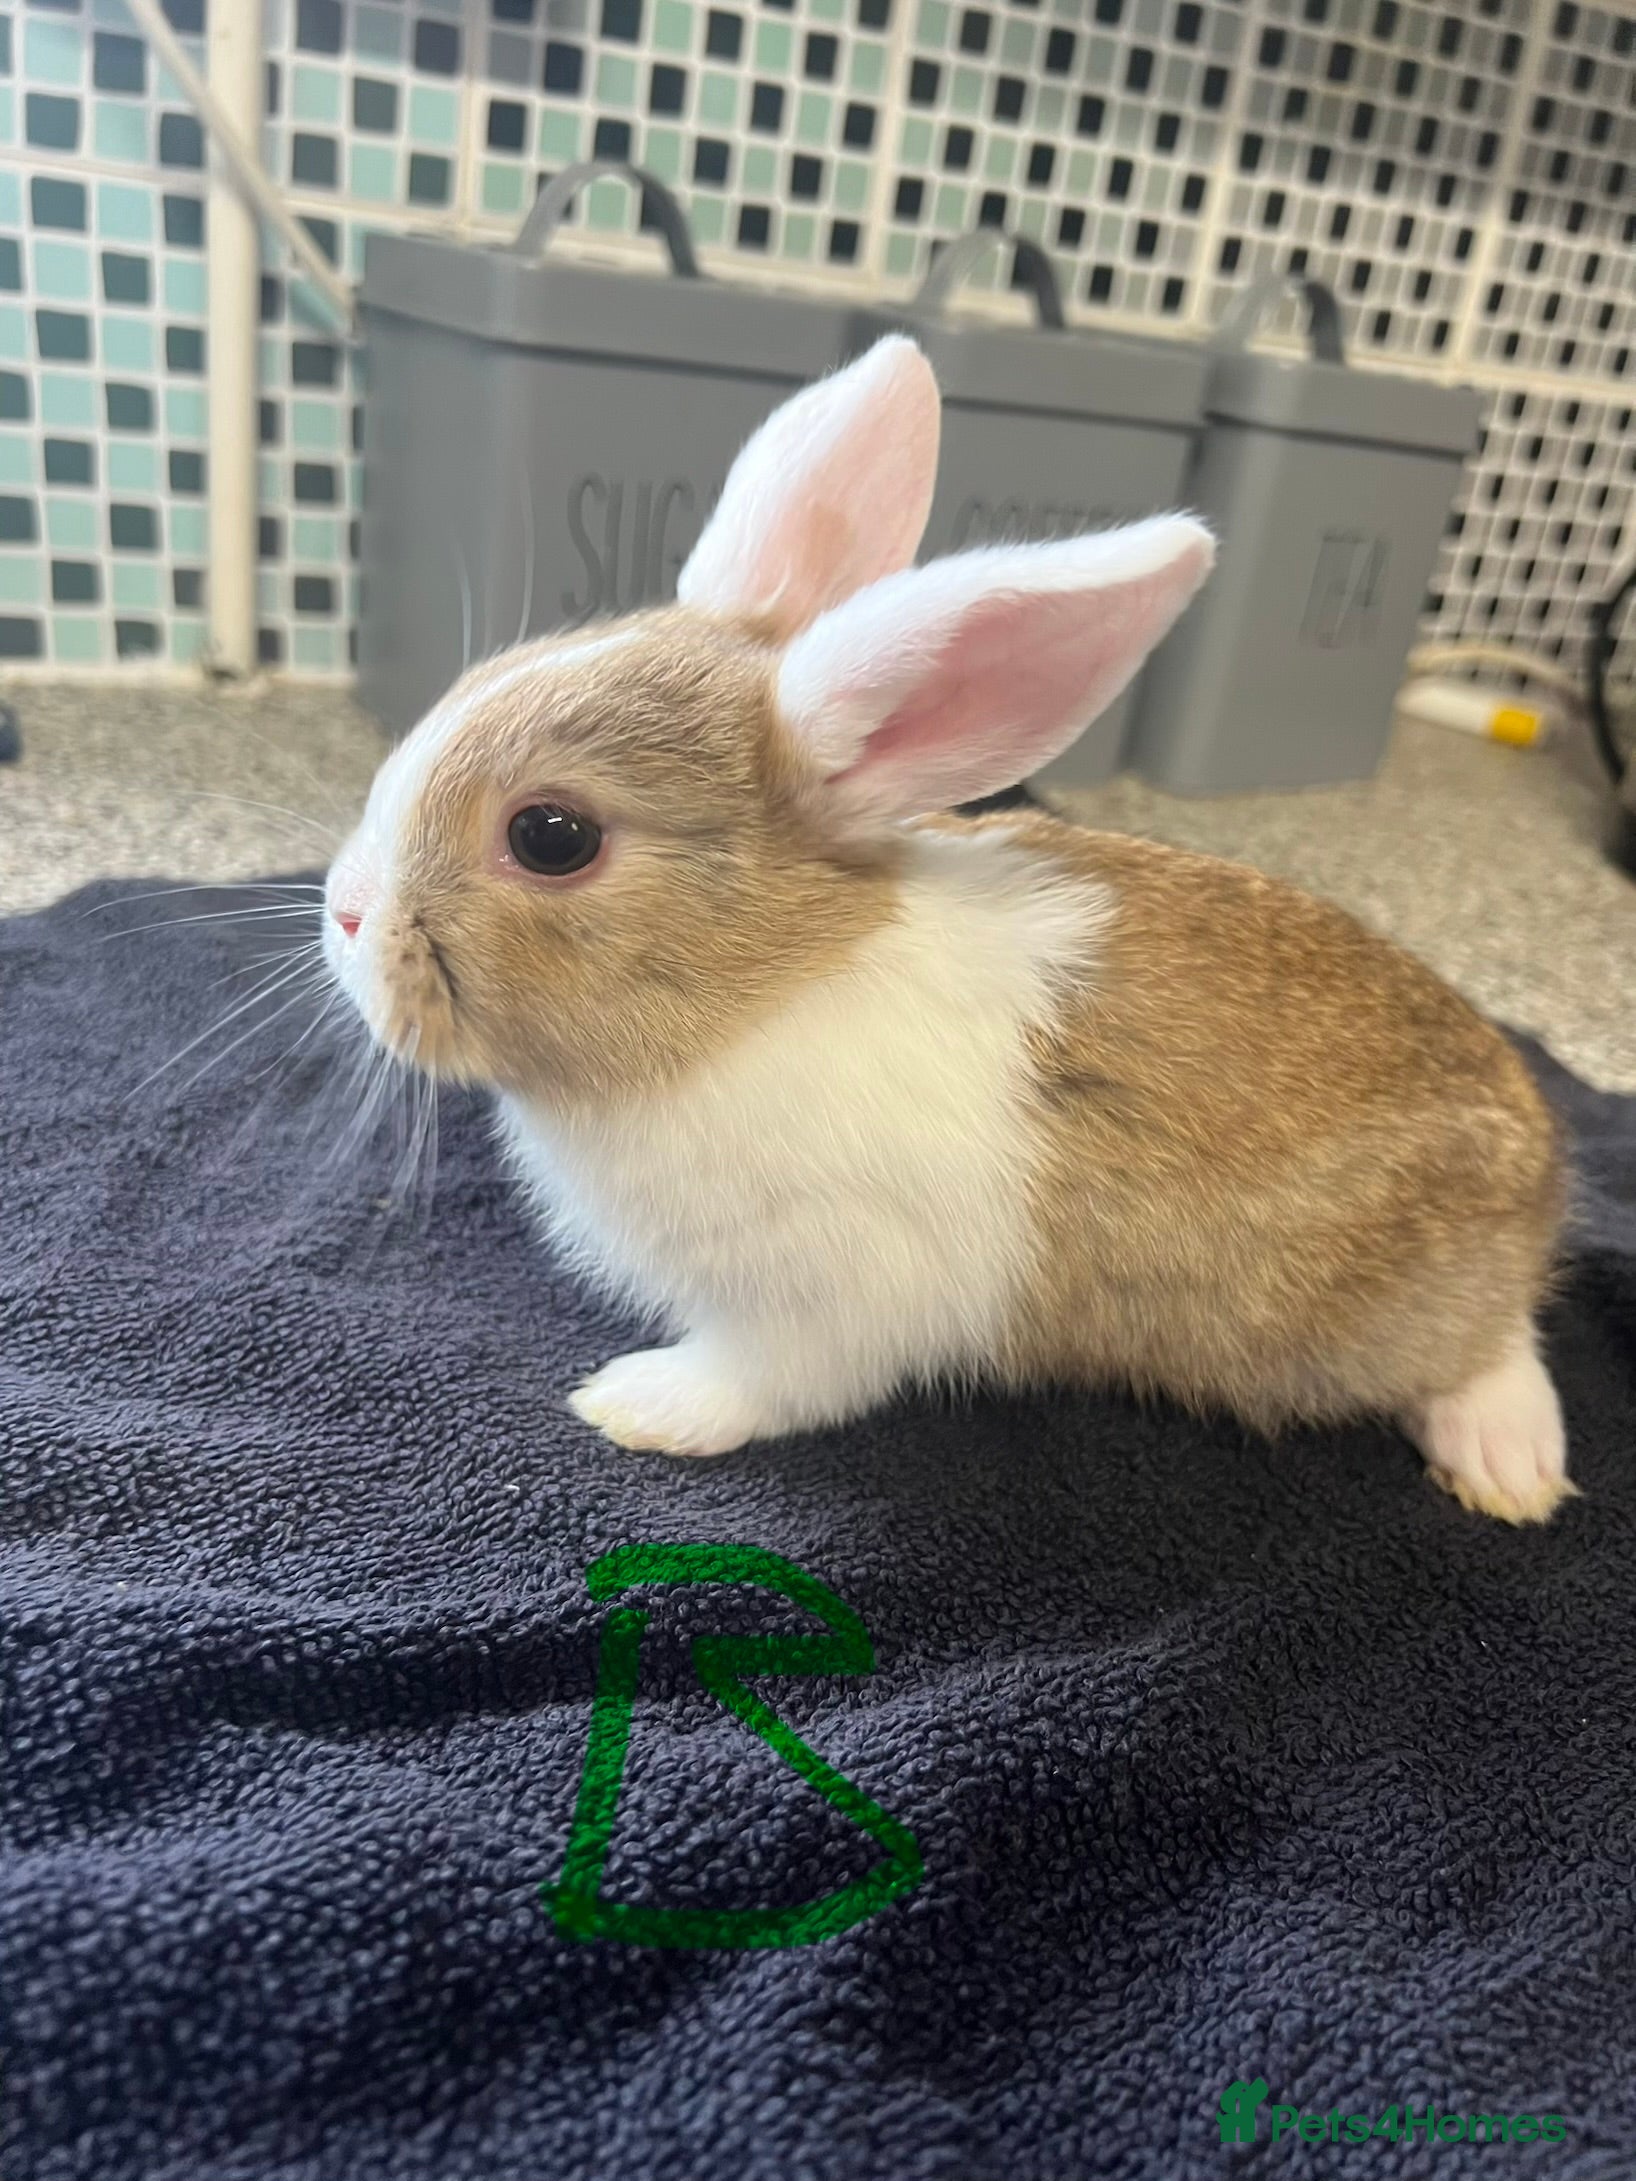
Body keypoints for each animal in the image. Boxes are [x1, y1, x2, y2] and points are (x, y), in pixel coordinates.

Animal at [323, 335, 1570, 1525]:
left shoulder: (825, 1298)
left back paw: (1507, 1466)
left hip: (1377, 1316)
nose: (343, 915)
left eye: (551, 836)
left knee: (1494, 1348)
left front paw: (635, 1405)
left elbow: (763, 1384)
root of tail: (1540, 1172)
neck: (753, 992)